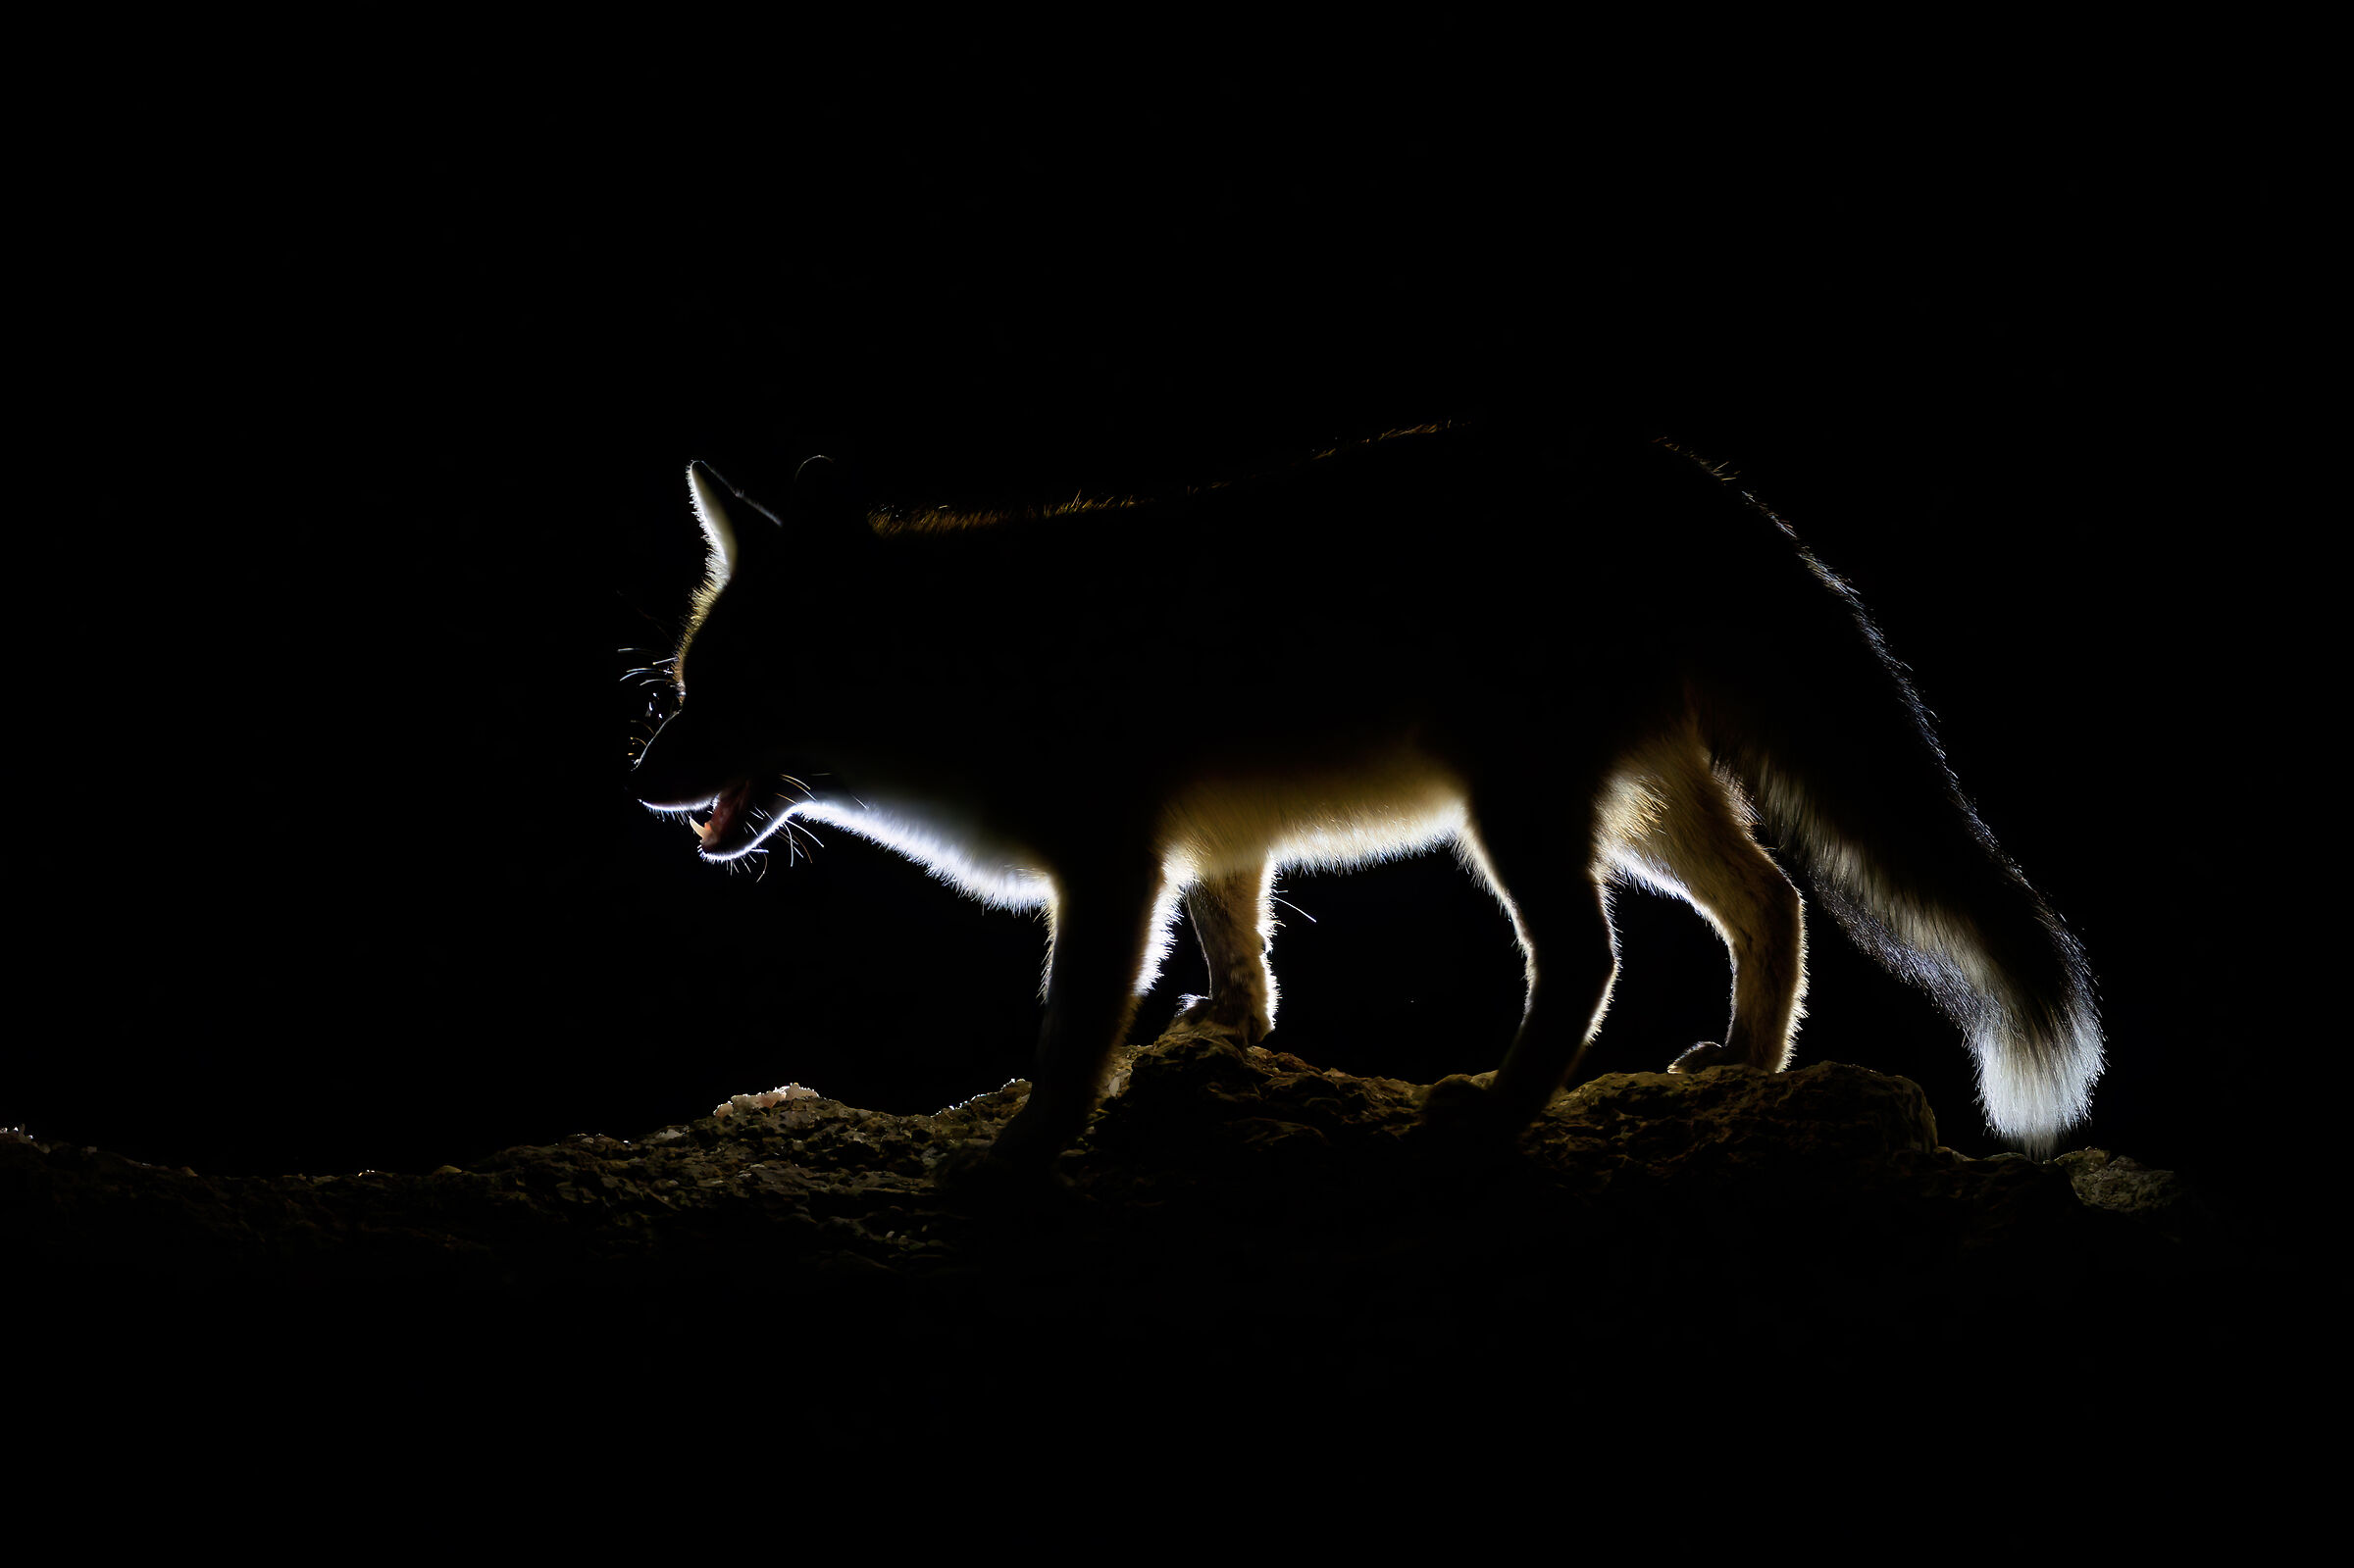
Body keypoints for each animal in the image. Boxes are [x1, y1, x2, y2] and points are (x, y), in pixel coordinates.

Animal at [630, 422, 2102, 1178]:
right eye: (682, 689)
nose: (638, 784)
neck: (976, 671)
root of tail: (1654, 461)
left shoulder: (1110, 870)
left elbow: (1069, 1032)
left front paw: (1028, 1148)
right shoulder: (1210, 851)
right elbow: (1245, 973)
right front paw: (1221, 1048)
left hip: (1518, 816)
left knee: (1589, 959)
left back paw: (1498, 1115)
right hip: (1636, 809)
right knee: (1776, 899)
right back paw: (1746, 1067)